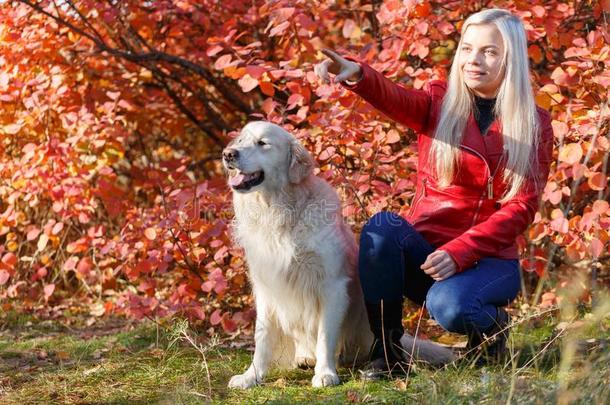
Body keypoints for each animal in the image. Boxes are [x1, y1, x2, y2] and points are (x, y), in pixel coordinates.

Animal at [223, 120, 452, 388]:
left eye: (262, 143)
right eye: (240, 140)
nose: (228, 154)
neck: (279, 211)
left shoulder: (332, 285)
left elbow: (325, 335)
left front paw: (325, 373)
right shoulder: (267, 285)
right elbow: (262, 337)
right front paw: (251, 376)